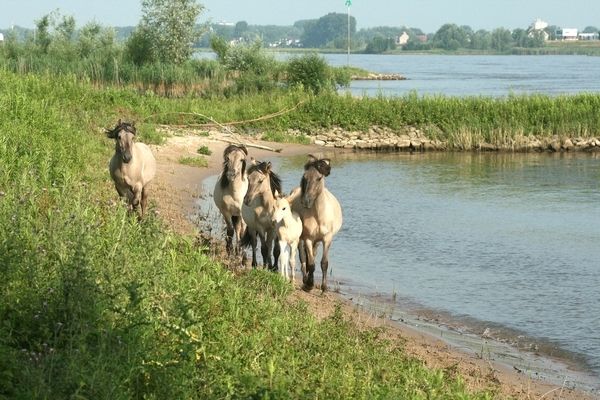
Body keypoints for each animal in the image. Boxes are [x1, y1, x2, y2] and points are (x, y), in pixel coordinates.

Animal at [290, 155, 343, 291]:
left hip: (317, 241)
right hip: (301, 239)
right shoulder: (308, 238)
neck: (318, 215)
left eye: (319, 178)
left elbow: (324, 263)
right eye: (305, 177)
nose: (306, 201)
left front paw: (324, 287)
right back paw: (305, 279)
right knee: (303, 258)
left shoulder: (327, 239)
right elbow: (311, 263)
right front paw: (309, 284)